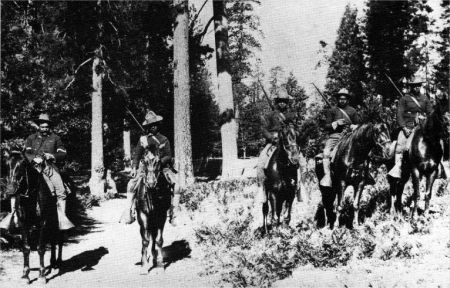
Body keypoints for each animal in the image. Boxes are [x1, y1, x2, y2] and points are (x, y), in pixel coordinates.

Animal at [0, 145, 63, 284]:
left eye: (23, 164)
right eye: (6, 164)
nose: (10, 190)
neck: (31, 197)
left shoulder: (43, 223)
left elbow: (40, 248)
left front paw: (42, 275)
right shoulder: (24, 223)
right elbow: (26, 248)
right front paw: (25, 275)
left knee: (58, 238)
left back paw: (57, 263)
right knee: (53, 239)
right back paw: (52, 263)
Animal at [134, 145, 171, 274]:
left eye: (158, 161)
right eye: (144, 161)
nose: (150, 183)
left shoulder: (161, 215)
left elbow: (159, 240)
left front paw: (160, 265)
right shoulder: (143, 215)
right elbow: (145, 240)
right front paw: (144, 266)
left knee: (154, 237)